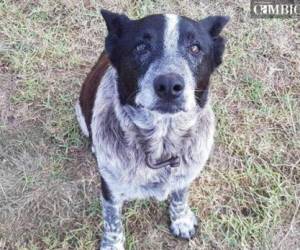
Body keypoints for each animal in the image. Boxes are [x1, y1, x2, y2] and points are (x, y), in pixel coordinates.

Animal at [76, 9, 229, 250]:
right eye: (141, 47)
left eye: (195, 48)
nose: (169, 85)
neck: (161, 143)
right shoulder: (110, 187)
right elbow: (112, 221)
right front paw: (113, 244)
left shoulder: (185, 174)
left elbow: (179, 197)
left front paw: (181, 220)